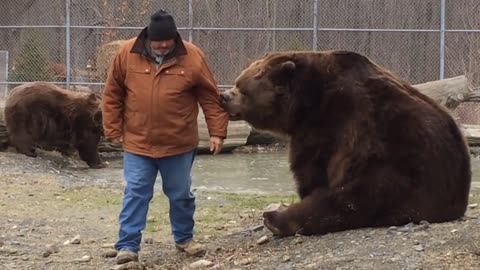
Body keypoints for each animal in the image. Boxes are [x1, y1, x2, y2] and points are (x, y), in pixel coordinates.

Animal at [222, 50, 472, 236]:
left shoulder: (330, 123)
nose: (224, 97)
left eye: (242, 89)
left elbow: (312, 167)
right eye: (237, 82)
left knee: (348, 200)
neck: (306, 102)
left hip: (402, 169)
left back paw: (275, 219)